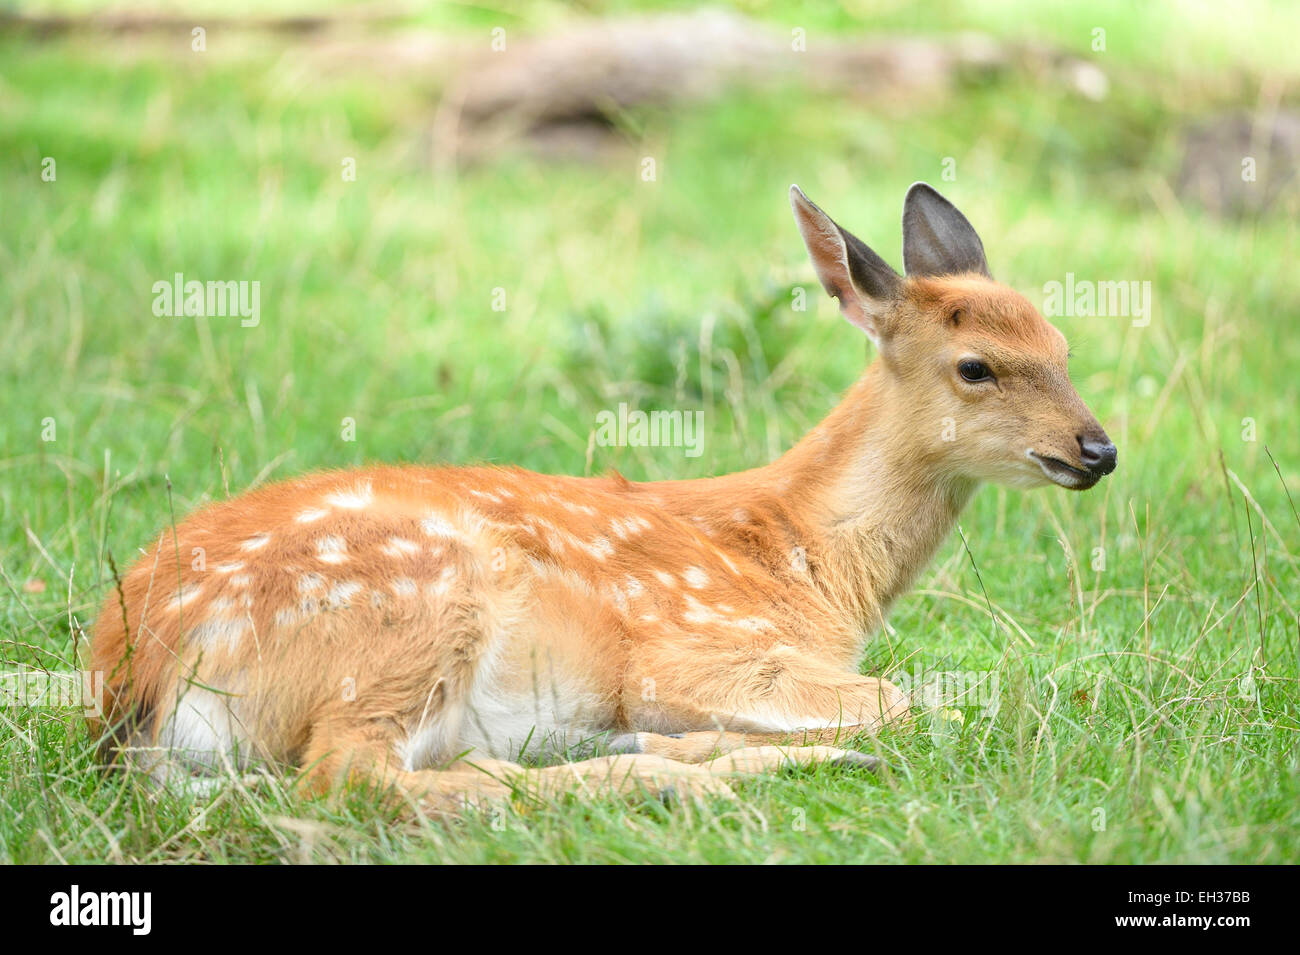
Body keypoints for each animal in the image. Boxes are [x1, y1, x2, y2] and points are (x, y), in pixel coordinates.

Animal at [90, 183, 1117, 811]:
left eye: (1064, 345)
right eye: (976, 365)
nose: (1098, 448)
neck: (810, 563)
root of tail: (130, 678)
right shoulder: (687, 645)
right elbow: (920, 702)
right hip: (411, 609)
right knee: (356, 776)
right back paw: (719, 776)